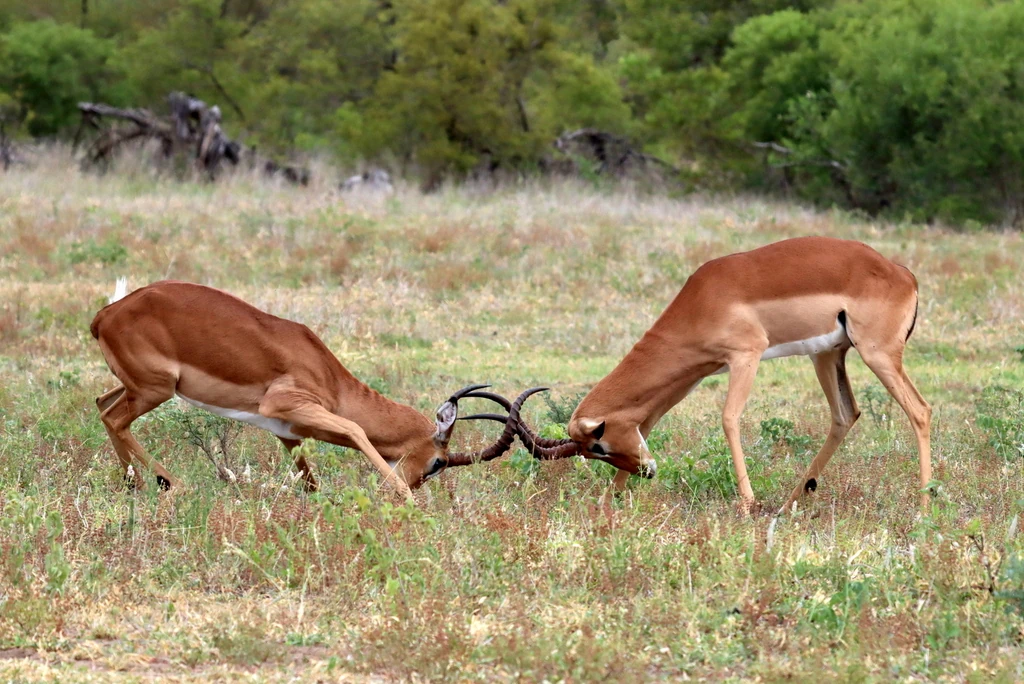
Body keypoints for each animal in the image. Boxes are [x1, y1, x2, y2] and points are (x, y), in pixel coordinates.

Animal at [90, 280, 536, 499]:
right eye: (438, 463)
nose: (409, 487)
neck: (329, 378)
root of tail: (106, 314)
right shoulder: (286, 405)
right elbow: (355, 430)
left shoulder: (288, 434)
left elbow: (310, 482)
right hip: (157, 389)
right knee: (116, 417)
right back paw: (171, 483)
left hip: (137, 387)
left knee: (102, 405)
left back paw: (135, 484)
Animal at [501, 236, 929, 511]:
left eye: (599, 445)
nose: (646, 472)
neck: (703, 299)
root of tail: (903, 273)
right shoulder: (691, 375)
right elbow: (650, 421)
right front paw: (609, 502)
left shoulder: (746, 356)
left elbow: (729, 418)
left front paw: (747, 503)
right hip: (827, 354)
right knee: (845, 415)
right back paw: (791, 502)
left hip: (878, 354)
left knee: (920, 411)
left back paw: (925, 503)